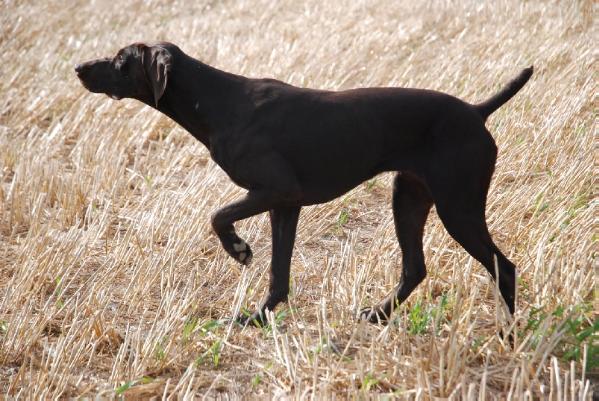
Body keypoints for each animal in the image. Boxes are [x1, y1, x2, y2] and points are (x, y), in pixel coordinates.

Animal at [76, 41, 536, 324]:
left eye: (120, 61)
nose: (78, 67)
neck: (218, 102)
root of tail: (476, 111)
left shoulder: (277, 191)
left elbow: (217, 216)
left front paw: (239, 249)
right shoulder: (285, 205)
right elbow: (278, 273)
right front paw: (259, 318)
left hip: (457, 207)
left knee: (504, 267)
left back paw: (507, 338)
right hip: (408, 198)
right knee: (415, 268)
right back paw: (378, 315)